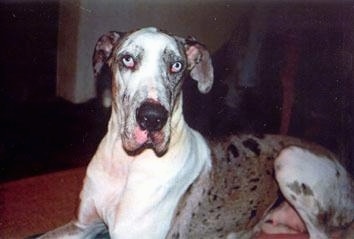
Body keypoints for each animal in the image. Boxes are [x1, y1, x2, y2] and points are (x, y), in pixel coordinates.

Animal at [38, 27, 352, 238]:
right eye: (127, 60)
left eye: (176, 65)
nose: (152, 118)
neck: (126, 164)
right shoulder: (81, 224)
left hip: (288, 159)